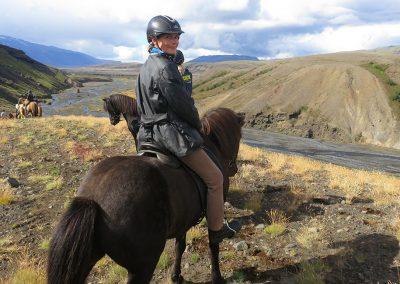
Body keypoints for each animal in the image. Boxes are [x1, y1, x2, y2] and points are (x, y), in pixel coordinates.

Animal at [45, 107, 242, 284]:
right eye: (240, 137)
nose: (233, 169)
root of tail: (92, 199)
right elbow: (213, 243)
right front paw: (217, 277)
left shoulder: (183, 221)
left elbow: (179, 247)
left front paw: (176, 276)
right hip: (142, 267)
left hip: (85, 258)